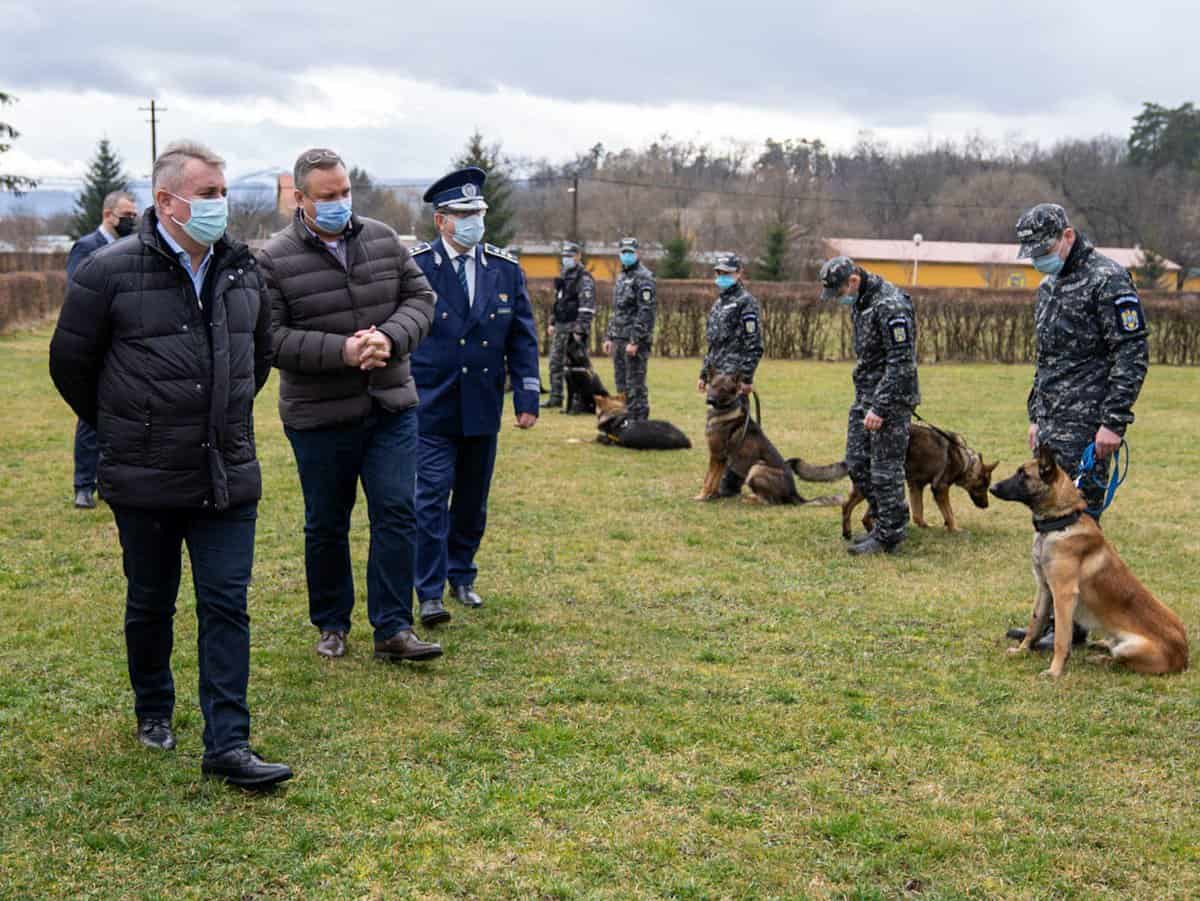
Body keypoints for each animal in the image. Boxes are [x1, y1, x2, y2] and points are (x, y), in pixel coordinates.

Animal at [700, 369, 849, 503]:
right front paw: (711, 495)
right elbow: (714, 480)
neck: (726, 409)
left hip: (756, 468)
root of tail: (795, 494)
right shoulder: (720, 459)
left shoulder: (716, 456)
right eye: (712, 386)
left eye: (723, 389)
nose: (709, 400)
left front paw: (702, 496)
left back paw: (751, 500)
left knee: (770, 501)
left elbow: (708, 479)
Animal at [840, 422, 998, 539]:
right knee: (849, 507)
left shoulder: (916, 486)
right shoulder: (940, 488)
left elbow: (918, 513)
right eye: (982, 487)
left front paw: (926, 526)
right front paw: (955, 528)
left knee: (858, 513)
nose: (986, 506)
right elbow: (949, 512)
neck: (966, 461)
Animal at [988, 443, 1185, 676]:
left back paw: (1099, 658)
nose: (992, 487)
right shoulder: (1045, 589)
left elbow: (1062, 639)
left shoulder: (1064, 594)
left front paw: (1055, 671)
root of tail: (1184, 655)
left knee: (1119, 661)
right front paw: (1022, 650)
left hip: (1132, 647)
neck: (1060, 522)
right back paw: (1100, 646)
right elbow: (1034, 624)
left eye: (1023, 475)